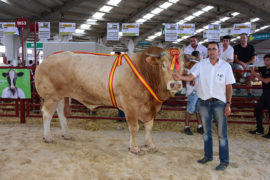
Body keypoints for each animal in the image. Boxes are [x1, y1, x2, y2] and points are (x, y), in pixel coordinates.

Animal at [35, 46, 188, 153]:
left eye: (183, 66)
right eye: (163, 65)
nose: (175, 84)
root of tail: (48, 58)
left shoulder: (149, 108)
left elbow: (149, 126)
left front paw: (150, 145)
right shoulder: (130, 105)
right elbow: (134, 127)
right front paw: (134, 148)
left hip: (61, 96)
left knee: (61, 113)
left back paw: (65, 134)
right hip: (51, 96)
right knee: (47, 114)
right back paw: (48, 137)